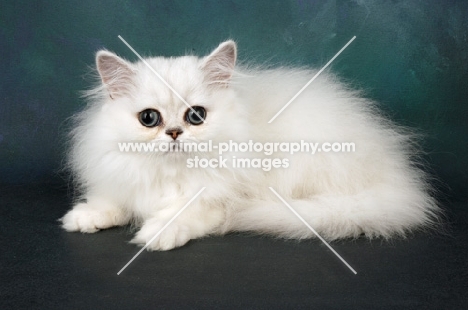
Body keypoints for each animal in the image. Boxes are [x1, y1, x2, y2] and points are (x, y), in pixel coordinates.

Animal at [61, 40, 438, 251]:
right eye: (149, 119)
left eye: (195, 115)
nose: (174, 133)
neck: (173, 173)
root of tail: (397, 175)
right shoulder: (125, 179)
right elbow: (114, 202)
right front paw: (85, 217)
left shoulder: (221, 198)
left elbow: (185, 212)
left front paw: (157, 232)